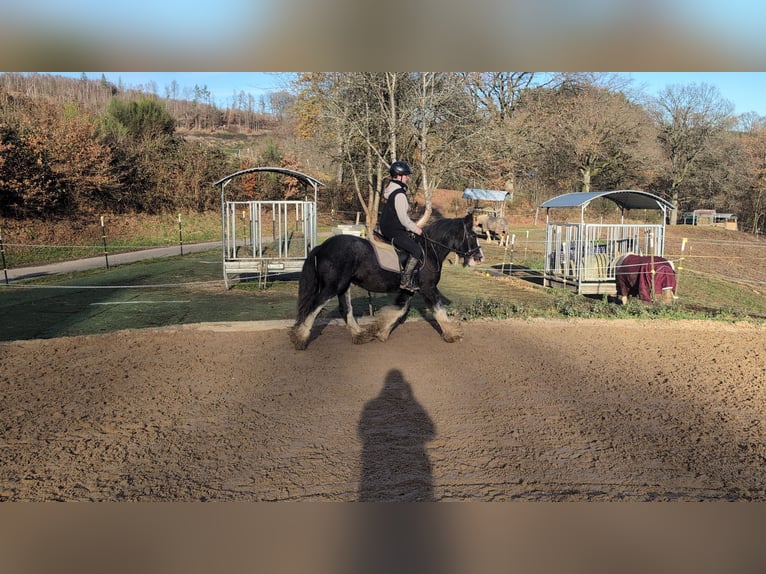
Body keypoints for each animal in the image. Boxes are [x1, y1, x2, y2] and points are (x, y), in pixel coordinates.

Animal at [290, 213, 484, 350]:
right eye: (472, 235)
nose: (480, 257)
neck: (429, 251)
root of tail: (322, 246)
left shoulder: (408, 290)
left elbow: (399, 310)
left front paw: (381, 331)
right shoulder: (428, 288)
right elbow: (439, 311)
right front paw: (453, 334)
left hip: (344, 286)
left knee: (345, 309)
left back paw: (360, 335)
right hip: (332, 286)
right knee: (314, 307)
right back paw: (300, 338)